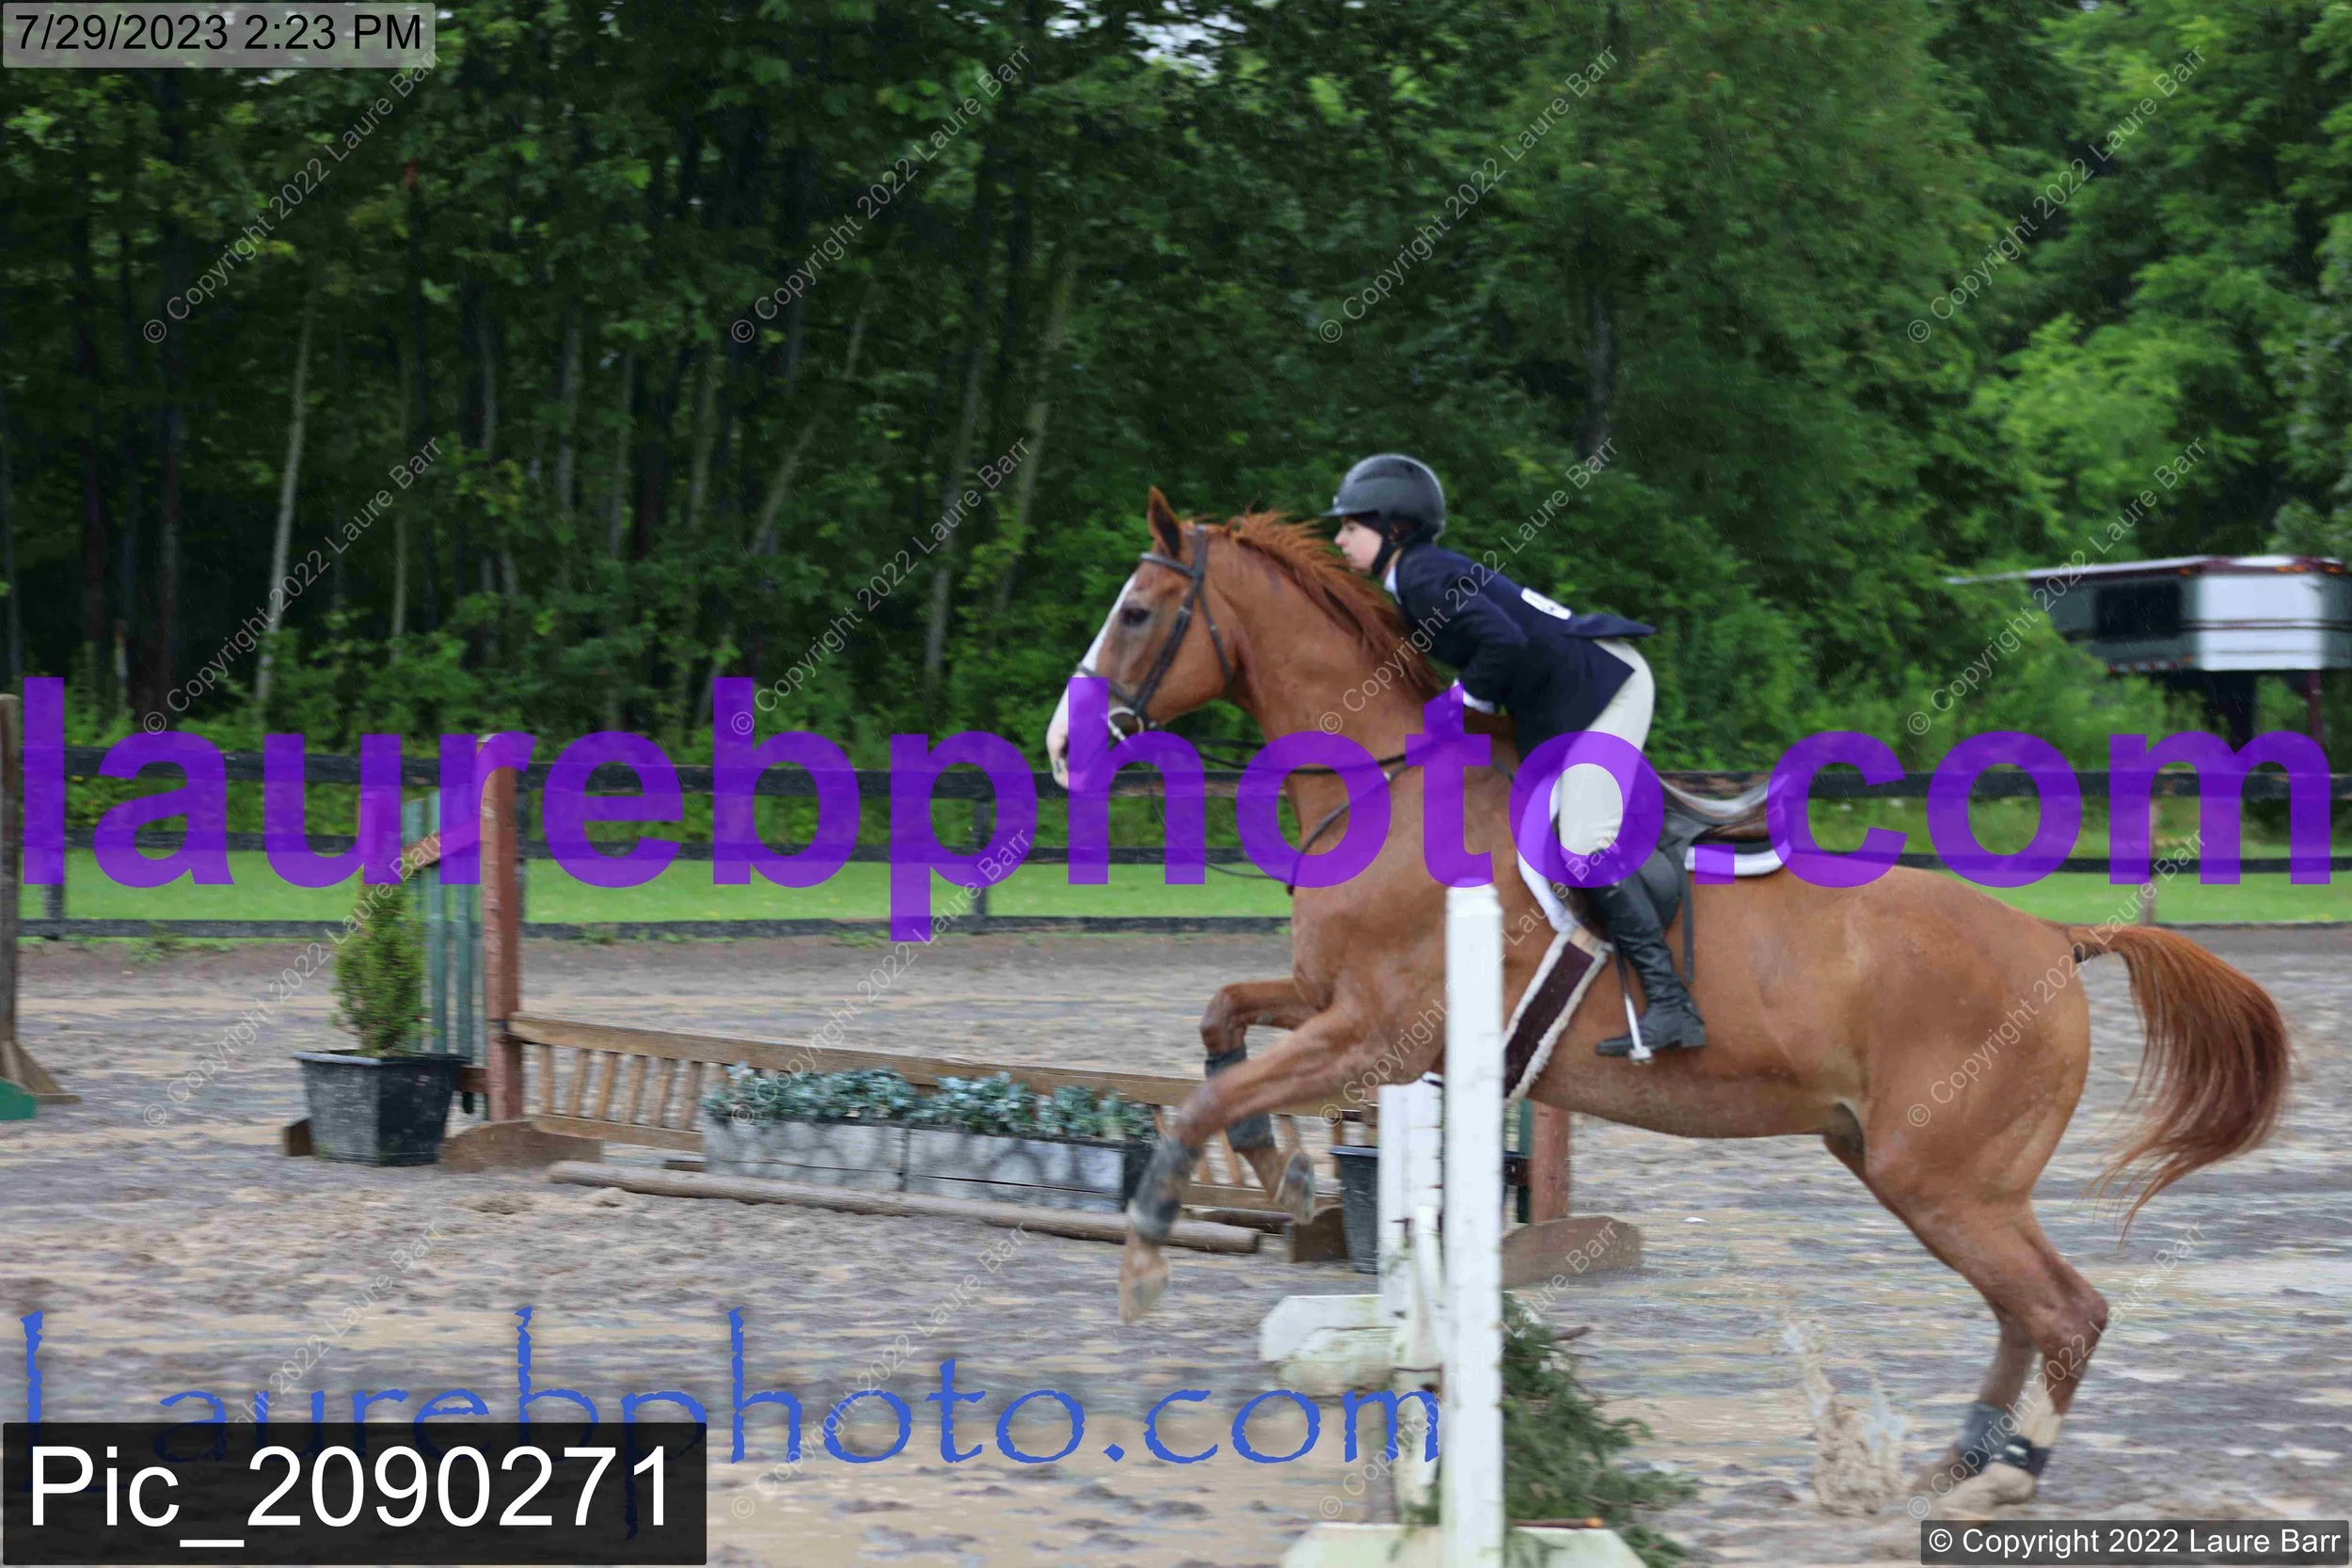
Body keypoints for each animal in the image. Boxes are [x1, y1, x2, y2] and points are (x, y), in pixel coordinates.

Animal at [1043, 489, 2291, 1516]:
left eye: (1140, 612)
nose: (1060, 745)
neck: (1385, 784)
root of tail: (2054, 938)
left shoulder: (1380, 1032)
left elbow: (1206, 1097)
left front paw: (1147, 1259)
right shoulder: (1326, 1001)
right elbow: (1220, 1024)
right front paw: (1280, 1170)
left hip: (1942, 1177)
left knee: (2065, 1309)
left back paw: (2006, 1476)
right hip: (1926, 1172)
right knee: (2024, 1308)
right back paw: (1957, 1461)